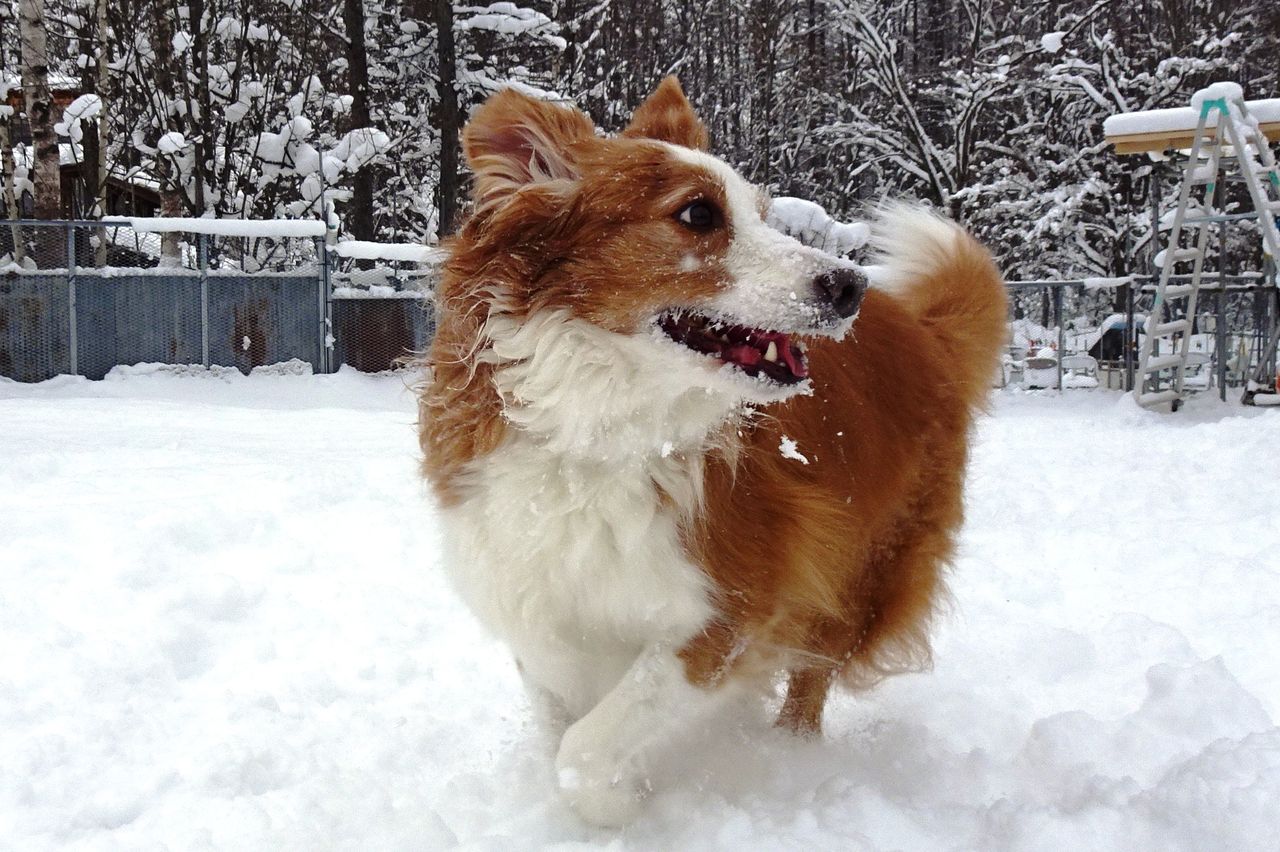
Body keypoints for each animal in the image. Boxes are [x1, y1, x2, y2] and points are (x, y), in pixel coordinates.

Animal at [418, 77, 1006, 826]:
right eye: (698, 213)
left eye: (763, 214)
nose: (850, 285)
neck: (602, 424)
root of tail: (923, 331)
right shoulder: (538, 601)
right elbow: (559, 728)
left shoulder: (728, 610)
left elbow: (584, 752)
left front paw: (623, 804)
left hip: (864, 574)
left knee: (811, 679)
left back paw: (788, 757)